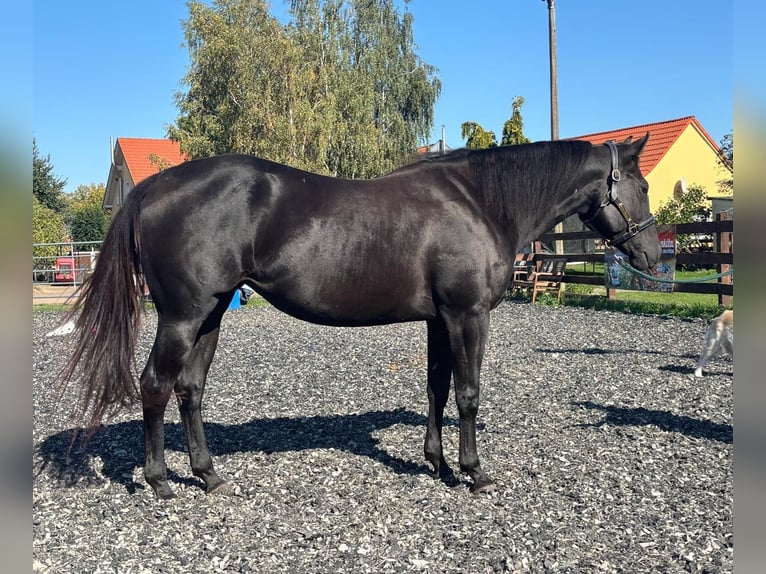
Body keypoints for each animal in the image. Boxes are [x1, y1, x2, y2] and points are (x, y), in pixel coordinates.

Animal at [61, 136, 660, 499]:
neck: (479, 202)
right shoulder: (466, 315)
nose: (653, 257)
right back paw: (160, 482)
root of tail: (152, 188)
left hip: (210, 315)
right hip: (182, 318)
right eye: (642, 184)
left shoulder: (438, 319)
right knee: (155, 385)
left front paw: (437, 464)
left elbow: (436, 387)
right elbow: (467, 393)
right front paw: (474, 472)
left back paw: (209, 476)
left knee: (190, 389)